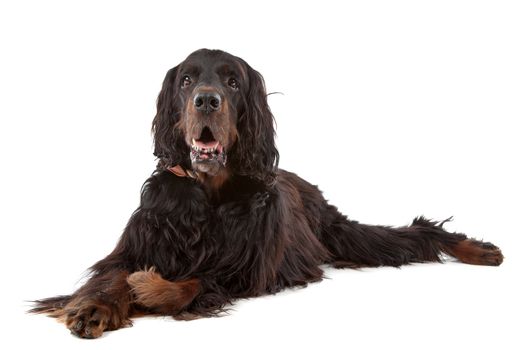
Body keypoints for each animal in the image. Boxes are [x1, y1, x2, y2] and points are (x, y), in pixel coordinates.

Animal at [29, 47, 504, 338]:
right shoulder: (137, 244)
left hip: (337, 231)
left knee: (418, 233)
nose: (206, 100)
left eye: (233, 82)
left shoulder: (249, 268)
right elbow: (111, 276)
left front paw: (148, 288)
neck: (210, 194)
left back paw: (478, 250)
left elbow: (194, 282)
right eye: (186, 80)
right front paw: (94, 307)